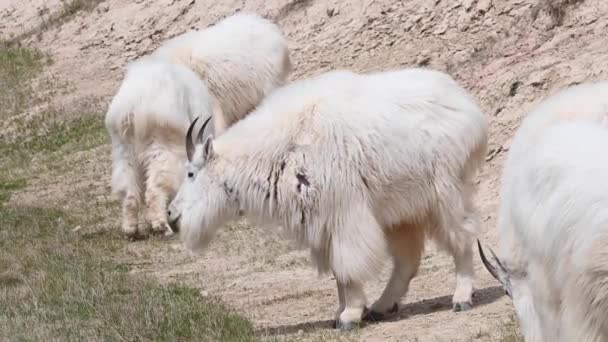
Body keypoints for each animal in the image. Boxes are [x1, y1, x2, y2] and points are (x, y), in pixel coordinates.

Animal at [105, 12, 292, 238]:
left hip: (124, 149)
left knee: (129, 190)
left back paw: (132, 230)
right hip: (162, 145)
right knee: (155, 187)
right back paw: (162, 226)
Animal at [167, 67, 490, 332]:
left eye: (191, 173)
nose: (171, 216)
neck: (281, 149)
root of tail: (468, 106)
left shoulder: (344, 215)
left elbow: (348, 266)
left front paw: (349, 316)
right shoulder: (323, 224)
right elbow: (338, 273)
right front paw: (341, 312)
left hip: (447, 191)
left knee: (462, 237)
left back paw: (461, 297)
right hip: (403, 210)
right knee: (407, 259)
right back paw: (382, 306)